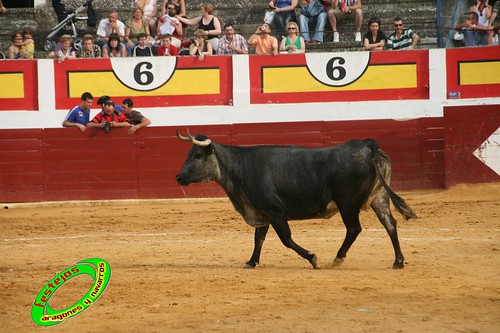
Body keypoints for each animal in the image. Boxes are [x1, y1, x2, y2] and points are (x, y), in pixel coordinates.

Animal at [176, 128, 418, 268]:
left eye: (197, 155)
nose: (178, 177)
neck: (240, 168)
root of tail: (367, 145)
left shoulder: (276, 212)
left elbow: (286, 239)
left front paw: (312, 258)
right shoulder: (262, 211)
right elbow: (258, 238)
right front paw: (252, 262)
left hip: (348, 203)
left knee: (354, 228)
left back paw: (338, 258)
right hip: (379, 198)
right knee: (390, 223)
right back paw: (398, 261)